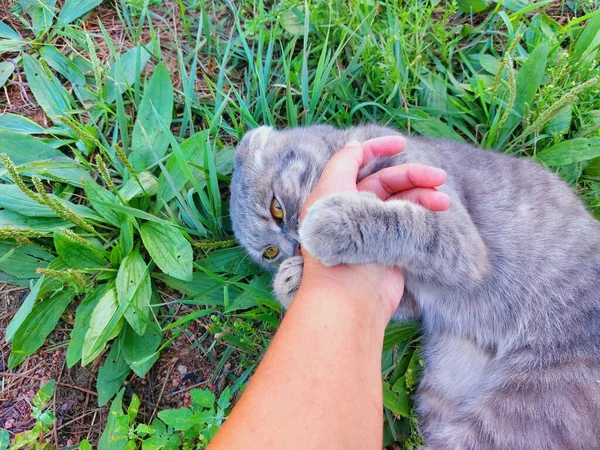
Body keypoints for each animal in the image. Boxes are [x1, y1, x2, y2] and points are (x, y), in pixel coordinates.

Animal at [229, 124, 600, 450]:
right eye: (270, 252)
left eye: (277, 208)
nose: (293, 248)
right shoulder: (409, 296)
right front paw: (289, 280)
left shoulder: (462, 244)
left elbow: (404, 222)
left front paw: (334, 224)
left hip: (522, 408)